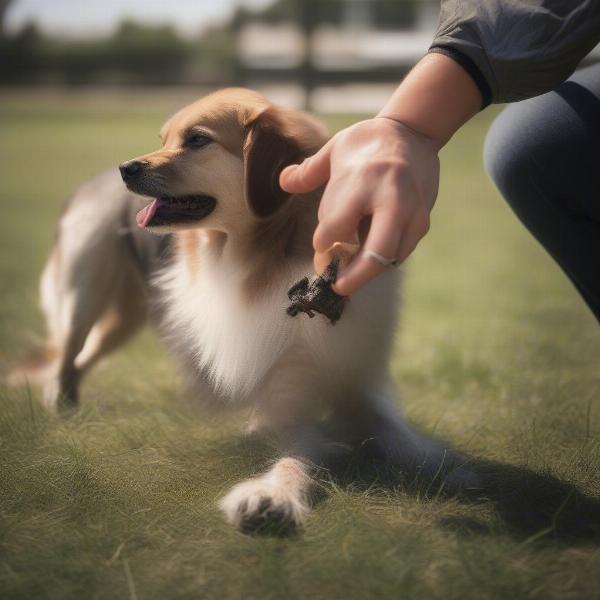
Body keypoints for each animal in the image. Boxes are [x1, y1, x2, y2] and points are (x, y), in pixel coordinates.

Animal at [10, 88, 478, 528]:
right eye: (164, 140)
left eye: (197, 140)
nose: (127, 168)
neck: (268, 254)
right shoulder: (285, 402)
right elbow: (293, 457)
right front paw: (271, 496)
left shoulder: (353, 382)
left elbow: (406, 440)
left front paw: (452, 468)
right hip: (83, 289)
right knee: (68, 352)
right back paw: (59, 404)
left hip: (125, 316)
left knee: (82, 356)